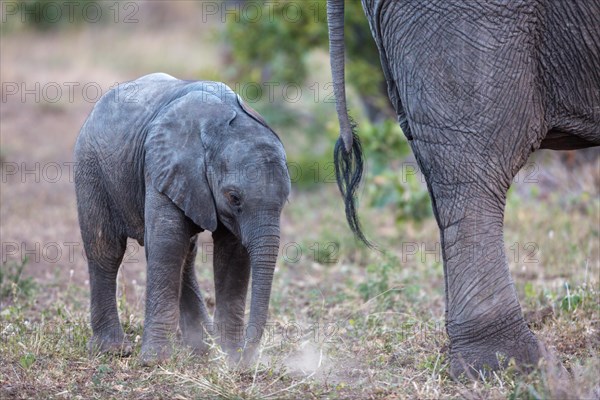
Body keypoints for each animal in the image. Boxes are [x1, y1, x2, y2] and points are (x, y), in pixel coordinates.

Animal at [74, 72, 290, 366]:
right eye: (234, 197)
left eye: (285, 198)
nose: (248, 354)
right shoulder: (163, 166)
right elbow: (167, 244)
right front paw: (154, 362)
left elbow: (232, 255)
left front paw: (230, 359)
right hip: (91, 167)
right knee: (106, 250)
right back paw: (112, 350)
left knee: (186, 254)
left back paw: (203, 346)